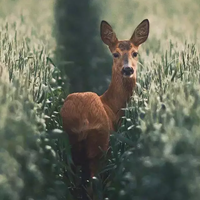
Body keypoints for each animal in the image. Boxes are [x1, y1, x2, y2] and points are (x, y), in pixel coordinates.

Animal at [60, 18, 149, 198]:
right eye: (115, 54)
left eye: (135, 53)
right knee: (93, 184)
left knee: (73, 181)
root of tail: (84, 119)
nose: (128, 69)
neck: (112, 106)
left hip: (70, 144)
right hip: (99, 144)